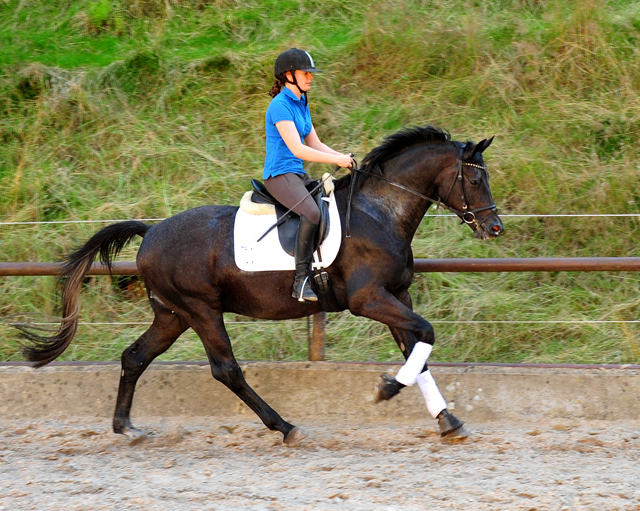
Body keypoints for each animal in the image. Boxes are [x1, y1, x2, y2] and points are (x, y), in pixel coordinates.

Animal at [17, 126, 502, 446]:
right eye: (475, 179)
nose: (494, 227)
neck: (381, 212)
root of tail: (151, 232)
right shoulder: (370, 299)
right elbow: (426, 336)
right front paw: (386, 389)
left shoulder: (397, 296)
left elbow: (417, 351)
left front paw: (447, 420)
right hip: (200, 309)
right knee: (226, 370)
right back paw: (285, 427)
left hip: (173, 314)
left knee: (135, 357)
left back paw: (126, 427)